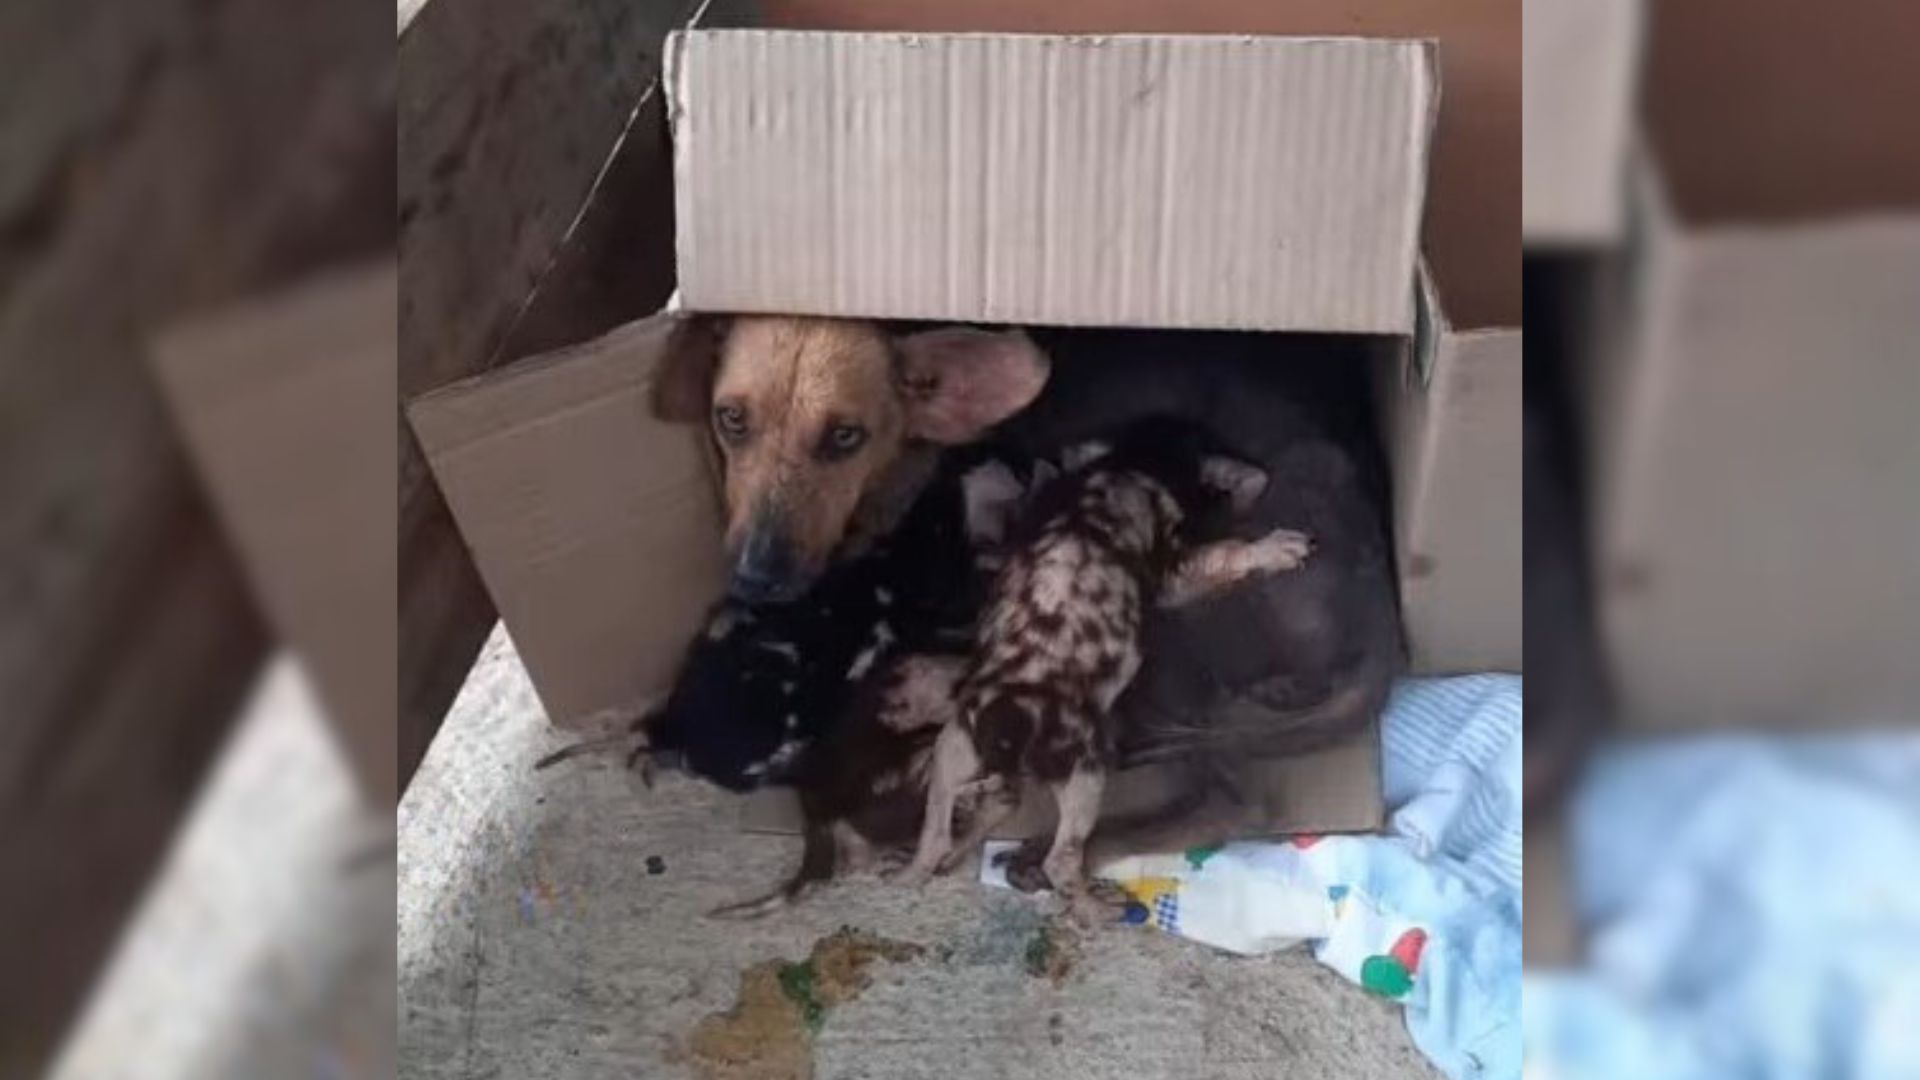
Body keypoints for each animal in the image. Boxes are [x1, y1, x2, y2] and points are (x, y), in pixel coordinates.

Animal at [890, 411, 1313, 907]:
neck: (1128, 463)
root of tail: (1011, 727)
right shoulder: (1177, 572)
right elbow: (1226, 553)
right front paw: (1275, 547)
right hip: (1084, 777)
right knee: (1061, 860)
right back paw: (1092, 908)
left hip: (952, 751)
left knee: (941, 831)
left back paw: (919, 871)